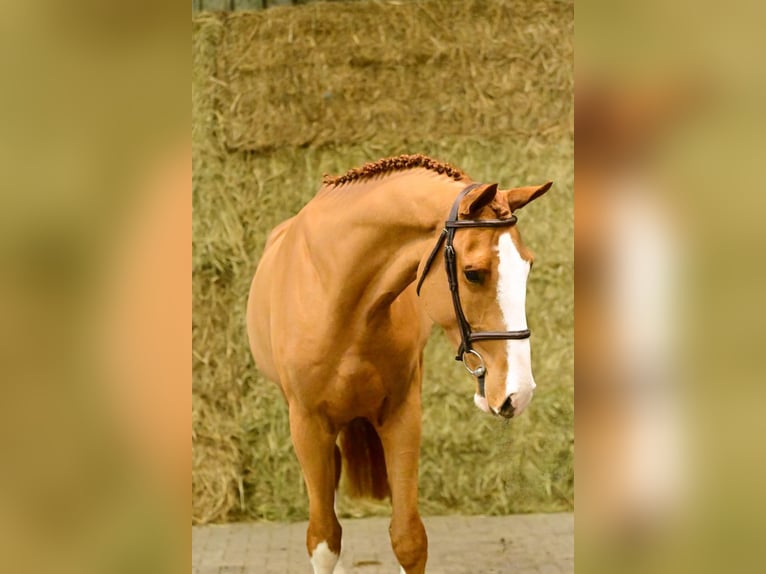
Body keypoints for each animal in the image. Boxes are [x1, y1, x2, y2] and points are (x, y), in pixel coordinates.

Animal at [246, 154, 552, 574]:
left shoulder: (402, 416)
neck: (343, 303)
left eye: (528, 266)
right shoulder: (308, 424)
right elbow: (323, 540)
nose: (519, 392)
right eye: (473, 274)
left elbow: (409, 539)